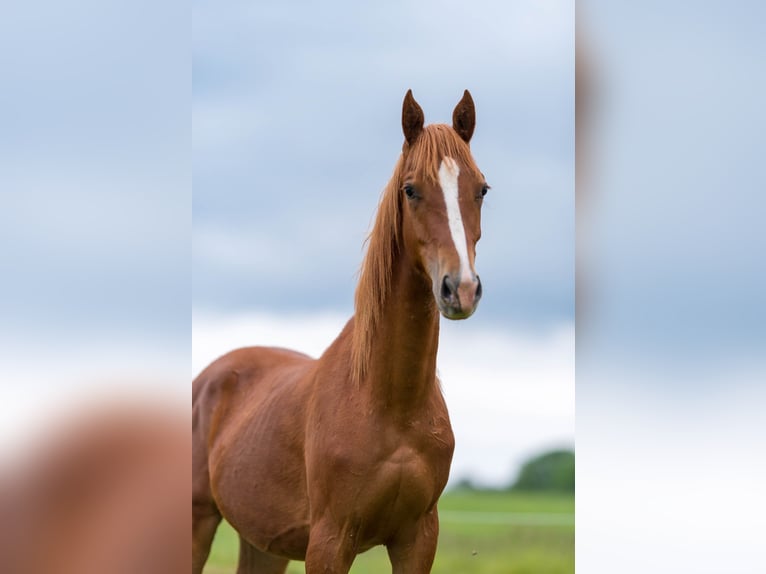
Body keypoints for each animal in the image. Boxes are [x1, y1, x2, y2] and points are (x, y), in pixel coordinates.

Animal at [194, 90, 492, 574]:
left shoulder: (417, 539)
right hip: (199, 521)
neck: (388, 403)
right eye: (411, 190)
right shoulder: (331, 540)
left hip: (263, 544)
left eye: (481, 189)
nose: (461, 289)